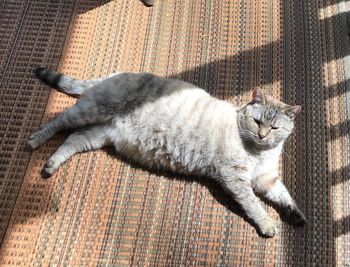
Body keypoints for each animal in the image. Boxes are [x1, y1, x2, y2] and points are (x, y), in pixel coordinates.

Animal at [27, 67, 306, 239]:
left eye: (275, 127)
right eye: (258, 122)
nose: (263, 135)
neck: (261, 153)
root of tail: (111, 75)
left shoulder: (266, 179)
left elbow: (284, 196)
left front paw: (298, 216)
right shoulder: (235, 176)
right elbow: (253, 204)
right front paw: (267, 224)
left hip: (97, 135)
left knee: (72, 139)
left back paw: (51, 165)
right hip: (89, 111)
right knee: (59, 121)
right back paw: (35, 140)